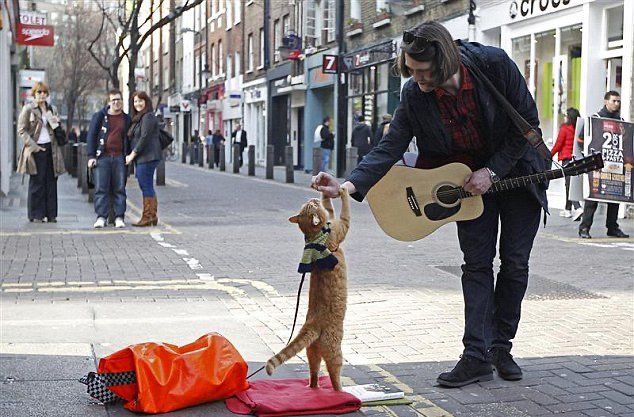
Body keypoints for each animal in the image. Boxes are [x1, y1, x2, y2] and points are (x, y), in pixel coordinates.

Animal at [262, 186, 348, 390]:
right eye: (312, 205)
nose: (312, 198)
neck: (315, 237)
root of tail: (312, 324)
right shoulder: (341, 227)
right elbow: (344, 210)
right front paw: (343, 190)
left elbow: (330, 207)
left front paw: (326, 189)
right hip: (335, 351)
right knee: (334, 374)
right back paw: (341, 391)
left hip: (312, 352)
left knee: (314, 372)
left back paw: (313, 387)